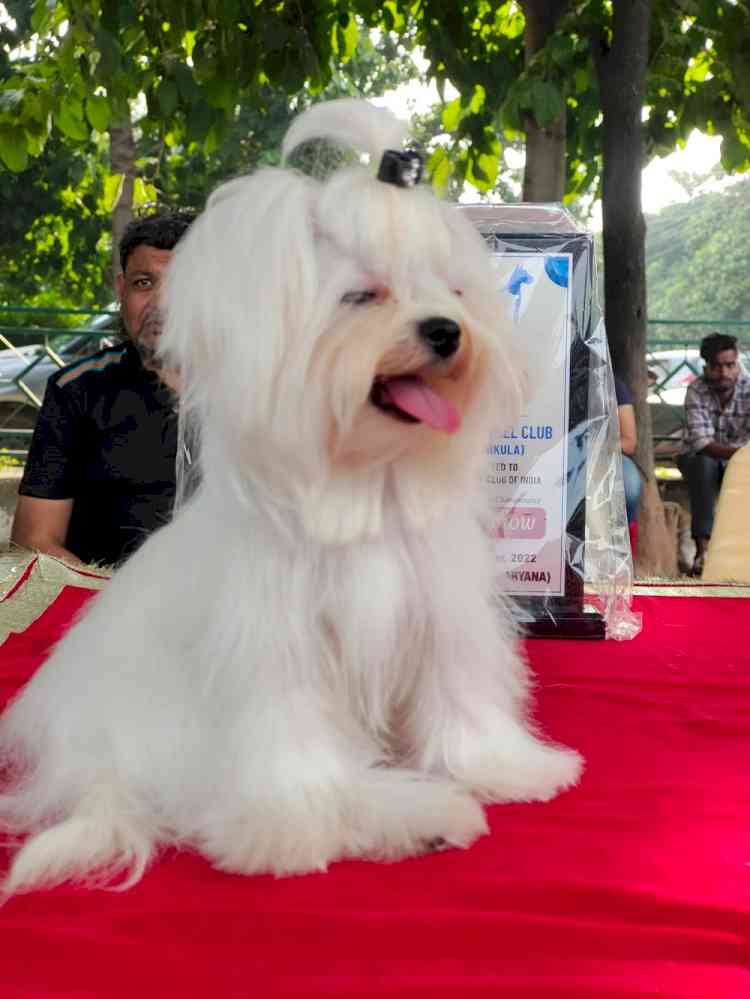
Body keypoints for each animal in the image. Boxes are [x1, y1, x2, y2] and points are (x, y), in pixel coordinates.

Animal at [0, 99, 580, 900]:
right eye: (362, 295)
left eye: (453, 291)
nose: (445, 331)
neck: (363, 481)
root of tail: (83, 765)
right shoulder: (280, 660)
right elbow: (298, 766)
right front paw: (295, 834)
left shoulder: (441, 616)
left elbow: (459, 696)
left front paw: (506, 767)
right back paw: (415, 815)